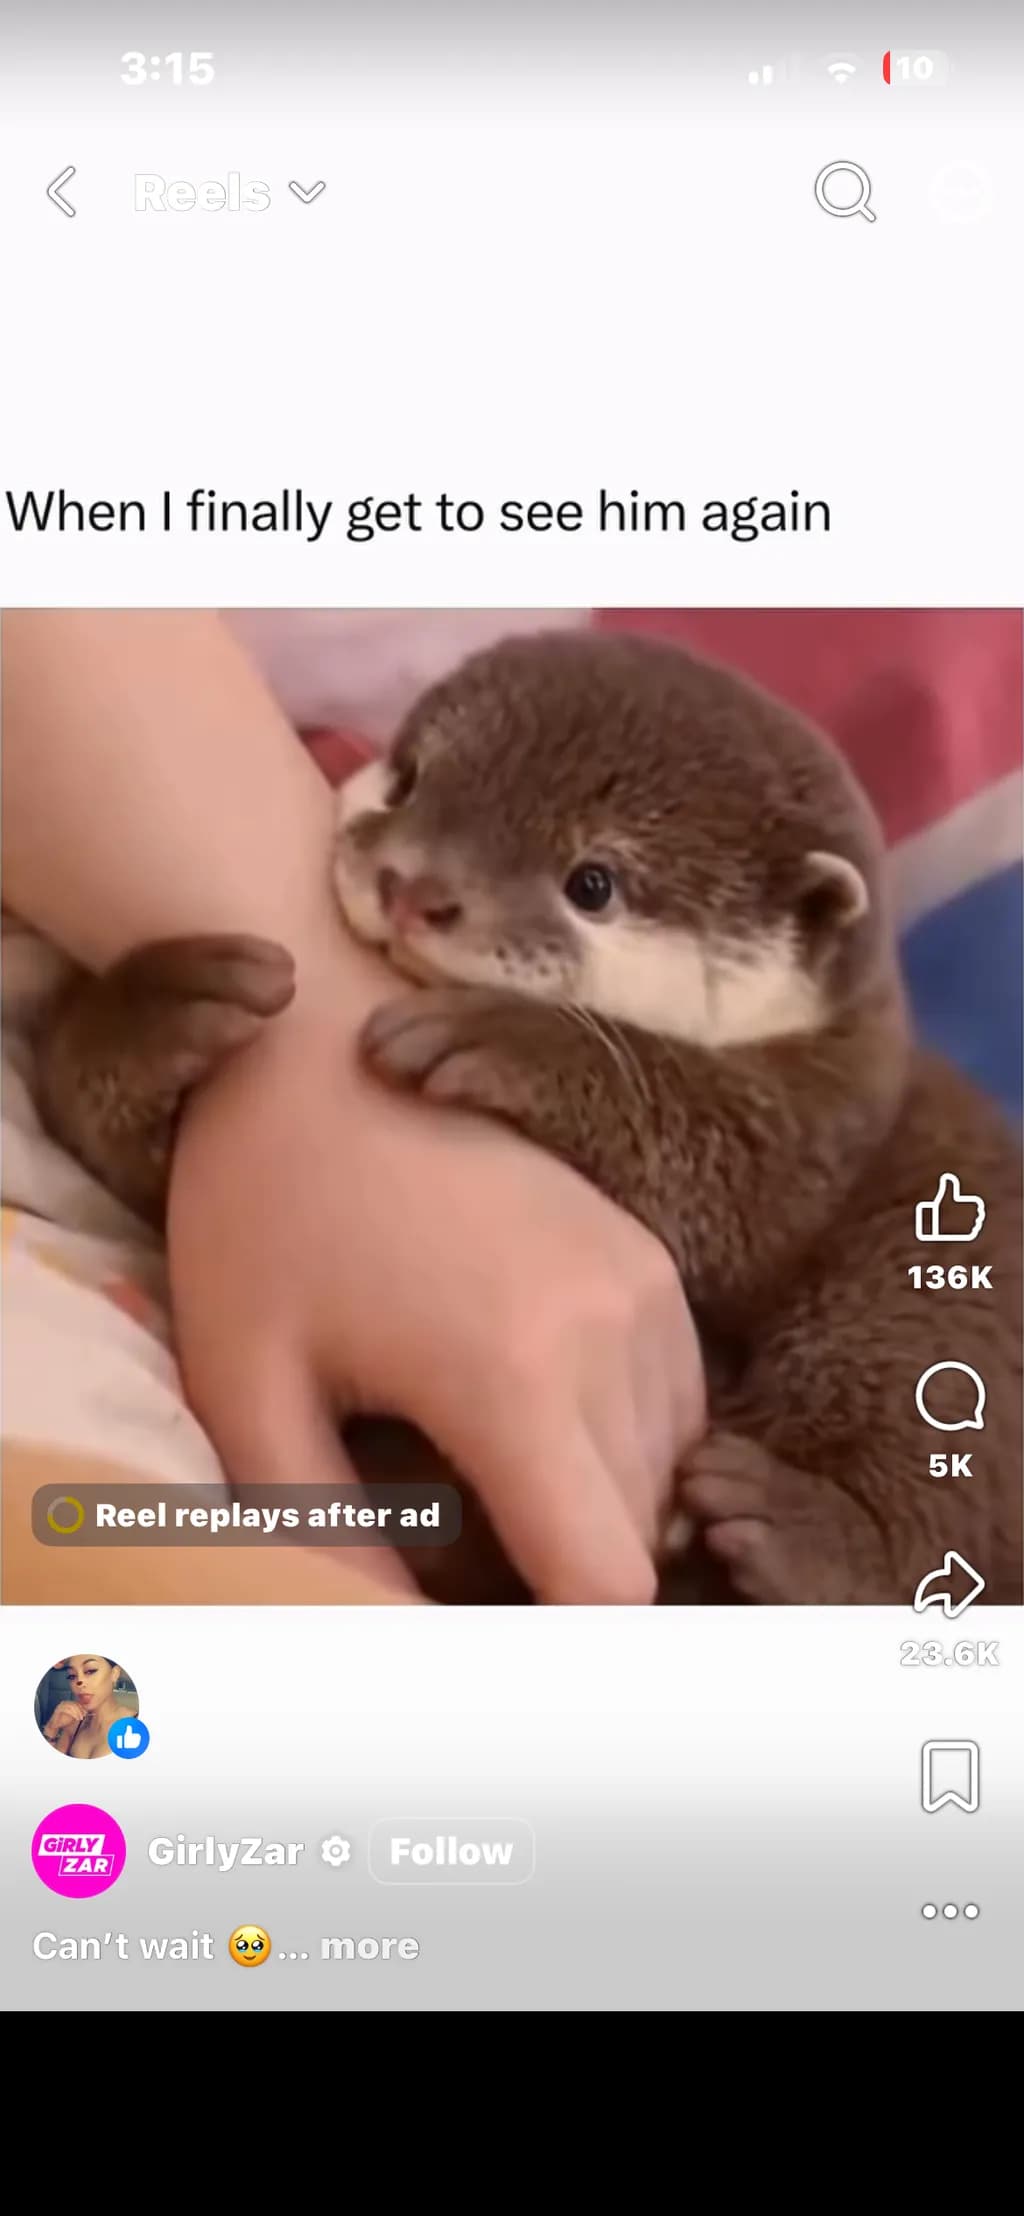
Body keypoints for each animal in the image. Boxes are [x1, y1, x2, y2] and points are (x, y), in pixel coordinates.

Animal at [31, 632, 1023, 1605]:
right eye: (410, 779)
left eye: (593, 883)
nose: (412, 887)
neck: (805, 1048)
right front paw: (161, 1003)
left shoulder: (814, 1126)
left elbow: (711, 1174)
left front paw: (500, 1035)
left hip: (930, 1288)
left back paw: (790, 1525)